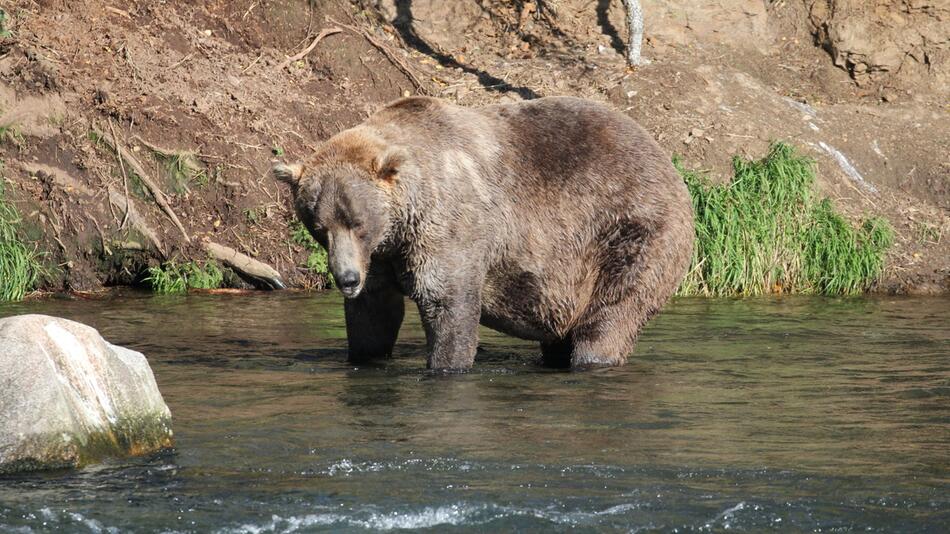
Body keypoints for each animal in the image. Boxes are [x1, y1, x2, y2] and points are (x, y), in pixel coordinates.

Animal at [272, 96, 696, 370]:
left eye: (358, 222)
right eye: (320, 227)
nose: (346, 278)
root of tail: (667, 160)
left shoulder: (449, 227)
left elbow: (448, 302)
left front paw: (446, 364)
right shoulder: (382, 257)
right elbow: (374, 314)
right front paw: (365, 355)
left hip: (629, 231)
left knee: (612, 312)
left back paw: (593, 358)